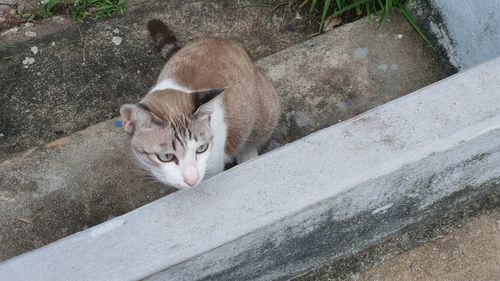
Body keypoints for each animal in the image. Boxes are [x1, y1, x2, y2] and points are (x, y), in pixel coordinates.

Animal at [118, 19, 282, 189]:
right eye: (166, 157)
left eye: (201, 148)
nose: (192, 180)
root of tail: (221, 39)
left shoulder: (214, 165)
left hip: (267, 110)